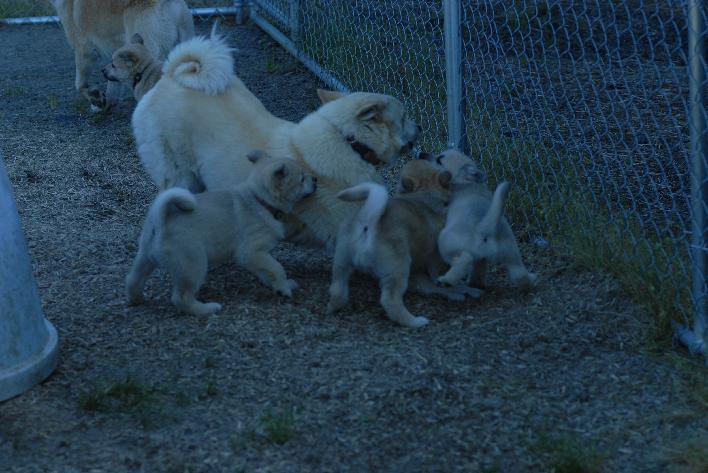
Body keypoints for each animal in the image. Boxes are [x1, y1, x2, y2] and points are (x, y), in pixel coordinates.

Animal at [50, 0, 195, 111]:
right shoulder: (115, 61)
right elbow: (112, 83)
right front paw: (106, 103)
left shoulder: (84, 52)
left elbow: (80, 85)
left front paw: (95, 98)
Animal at [326, 159, 482, 328]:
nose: (423, 154)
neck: (425, 194)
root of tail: (369, 221)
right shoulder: (436, 259)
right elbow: (442, 276)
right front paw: (458, 288)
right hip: (398, 267)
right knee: (390, 299)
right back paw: (415, 321)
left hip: (341, 262)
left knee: (337, 289)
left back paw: (333, 308)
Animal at [420, 148, 544, 288]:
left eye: (439, 160)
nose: (421, 154)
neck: (470, 185)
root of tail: (484, 228)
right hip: (512, 253)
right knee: (518, 273)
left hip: (445, 241)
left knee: (464, 260)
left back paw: (446, 280)